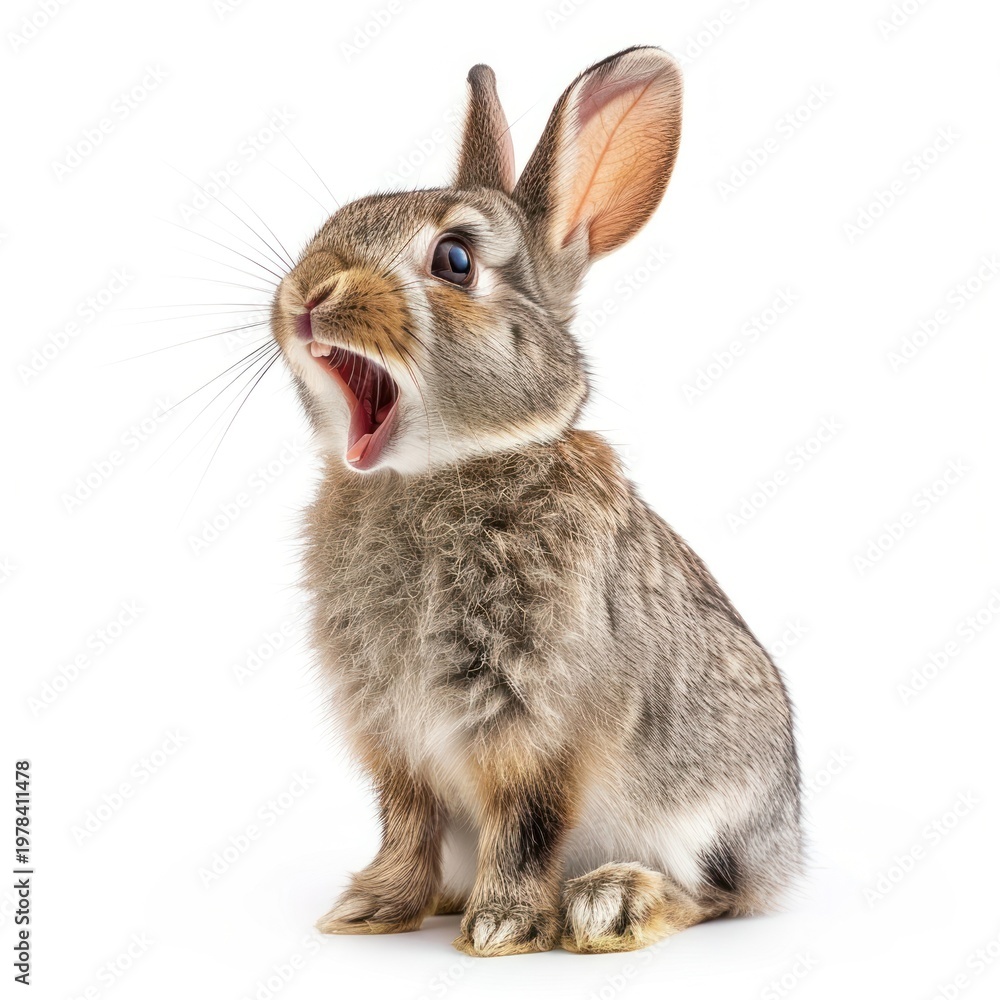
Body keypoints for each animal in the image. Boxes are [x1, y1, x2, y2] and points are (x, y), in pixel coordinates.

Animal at [269, 45, 802, 957]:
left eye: (454, 260)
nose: (308, 293)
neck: (437, 470)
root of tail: (786, 851)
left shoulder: (538, 721)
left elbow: (526, 820)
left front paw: (501, 927)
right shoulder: (395, 741)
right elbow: (406, 823)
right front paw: (373, 909)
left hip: (706, 818)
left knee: (714, 894)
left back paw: (610, 902)